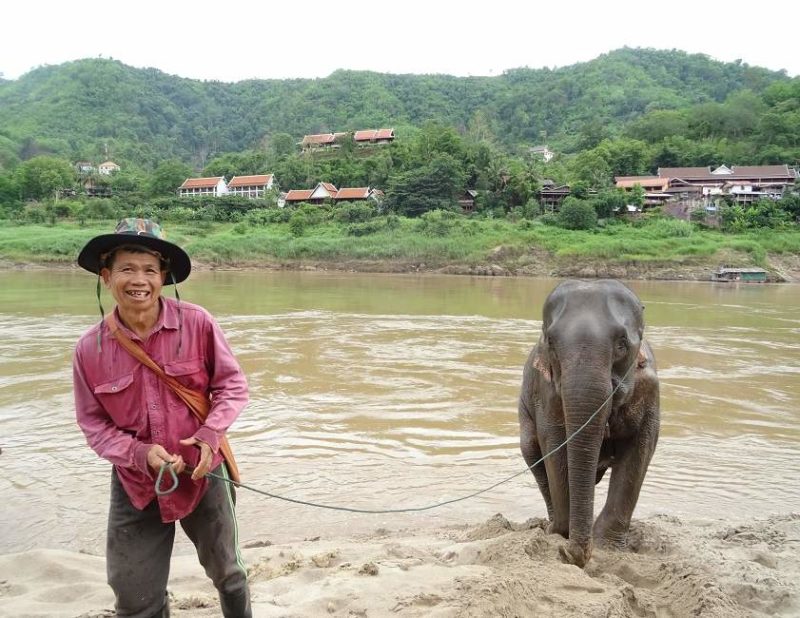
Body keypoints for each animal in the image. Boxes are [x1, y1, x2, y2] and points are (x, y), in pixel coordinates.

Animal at [520, 280, 660, 568]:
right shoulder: (545, 392)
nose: (566, 553)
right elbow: (554, 446)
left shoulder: (650, 391)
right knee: (532, 452)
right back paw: (551, 525)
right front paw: (560, 534)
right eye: (551, 342)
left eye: (622, 344)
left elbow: (640, 450)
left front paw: (607, 545)